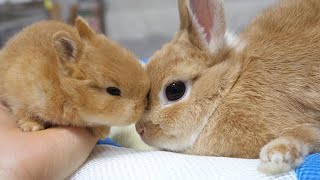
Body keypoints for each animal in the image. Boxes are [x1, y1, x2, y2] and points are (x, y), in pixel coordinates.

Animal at [0, 17, 150, 138]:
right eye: (113, 91)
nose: (143, 105)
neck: (63, 86)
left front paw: (102, 132)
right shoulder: (19, 96)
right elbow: (22, 111)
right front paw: (31, 127)